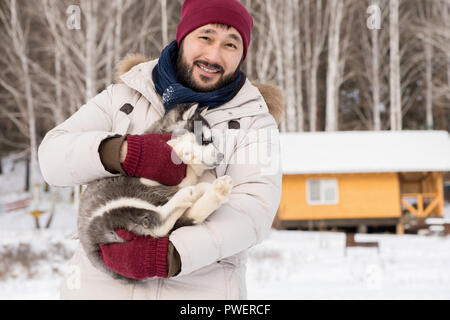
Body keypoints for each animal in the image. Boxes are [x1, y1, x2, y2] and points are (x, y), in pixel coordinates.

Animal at [77, 104, 232, 280]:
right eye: (204, 139)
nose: (221, 156)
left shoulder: (183, 180)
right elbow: (172, 149)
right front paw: (184, 152)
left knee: (183, 216)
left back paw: (217, 189)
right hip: (116, 205)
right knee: (159, 222)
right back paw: (192, 193)